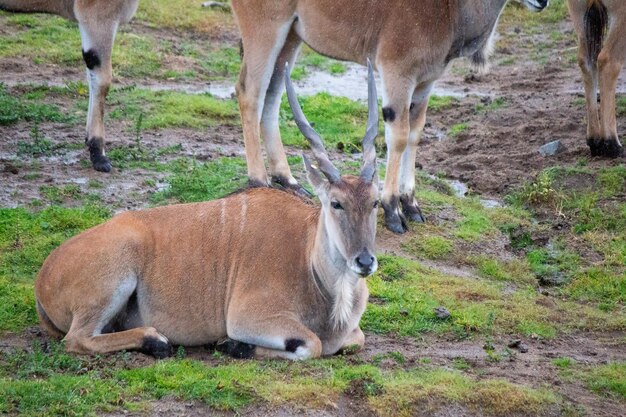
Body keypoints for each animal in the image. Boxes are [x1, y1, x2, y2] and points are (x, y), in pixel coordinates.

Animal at [35, 61, 380, 358]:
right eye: (335, 202)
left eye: (375, 202)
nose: (365, 261)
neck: (308, 258)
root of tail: (43, 276)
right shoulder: (247, 316)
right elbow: (312, 344)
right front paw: (234, 345)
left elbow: (356, 339)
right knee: (77, 339)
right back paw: (155, 340)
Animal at [229, 0, 544, 234]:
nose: (542, 2)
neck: (449, 8)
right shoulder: (397, 72)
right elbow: (399, 136)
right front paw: (393, 209)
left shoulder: (425, 83)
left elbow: (415, 134)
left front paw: (411, 204)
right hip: (266, 29)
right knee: (250, 92)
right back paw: (259, 179)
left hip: (292, 36)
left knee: (272, 96)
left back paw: (288, 179)